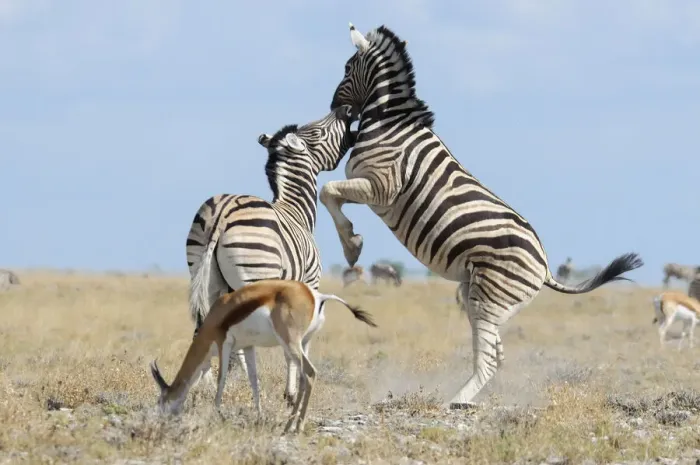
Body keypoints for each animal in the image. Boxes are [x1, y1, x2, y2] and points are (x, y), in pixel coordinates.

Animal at [186, 106, 356, 406]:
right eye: (317, 131)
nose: (345, 110)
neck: (296, 211)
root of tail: (223, 211)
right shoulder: (309, 283)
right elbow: (297, 340)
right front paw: (292, 393)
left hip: (203, 275)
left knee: (205, 330)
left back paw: (201, 389)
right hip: (254, 277)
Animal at [318, 23, 644, 409]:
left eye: (346, 68)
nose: (336, 108)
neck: (389, 123)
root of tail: (546, 265)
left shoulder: (381, 187)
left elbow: (327, 191)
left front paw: (351, 245)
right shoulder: (370, 189)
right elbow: (331, 194)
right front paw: (352, 240)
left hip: (489, 298)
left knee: (488, 359)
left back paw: (456, 402)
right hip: (481, 296)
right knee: (496, 355)